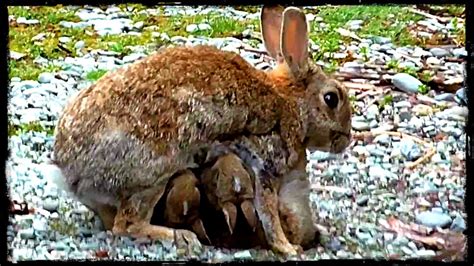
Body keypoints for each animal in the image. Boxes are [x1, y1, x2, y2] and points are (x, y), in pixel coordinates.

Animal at [53, 5, 354, 255]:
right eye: (331, 99)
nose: (346, 140)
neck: (290, 102)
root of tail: (68, 170)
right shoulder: (266, 163)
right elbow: (268, 212)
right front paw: (288, 248)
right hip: (153, 174)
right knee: (126, 225)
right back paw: (179, 236)